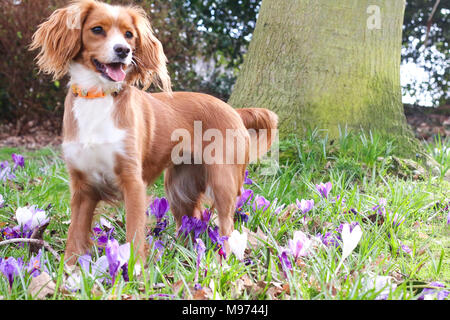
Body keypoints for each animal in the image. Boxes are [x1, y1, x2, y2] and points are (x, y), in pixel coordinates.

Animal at [30, 0, 278, 264]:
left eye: (129, 34)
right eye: (97, 30)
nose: (123, 50)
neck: (99, 95)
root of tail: (233, 110)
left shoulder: (133, 182)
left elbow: (134, 234)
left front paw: (135, 270)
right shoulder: (82, 187)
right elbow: (74, 237)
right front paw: (68, 271)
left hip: (223, 181)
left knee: (226, 226)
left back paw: (221, 260)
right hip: (179, 188)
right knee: (193, 221)